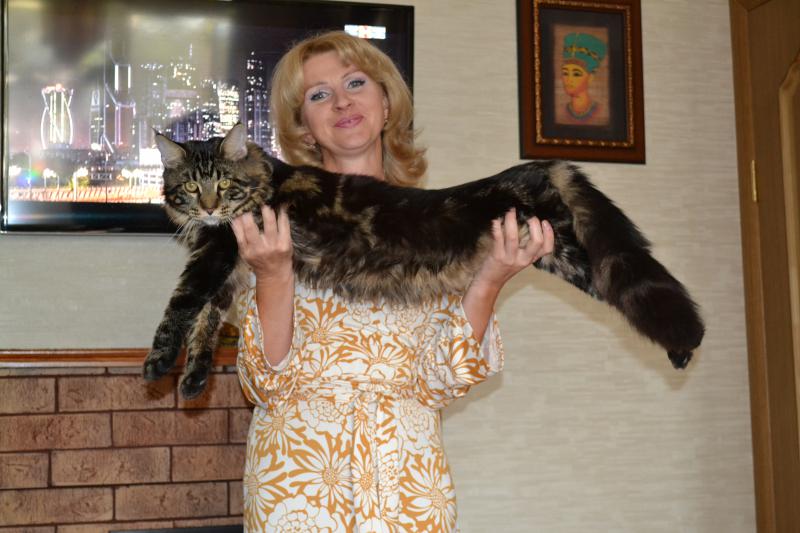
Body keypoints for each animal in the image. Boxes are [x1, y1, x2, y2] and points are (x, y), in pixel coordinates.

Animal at [144, 123, 704, 399]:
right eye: (190, 185)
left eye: (223, 184)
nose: (209, 207)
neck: (263, 181)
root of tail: (537, 167)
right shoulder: (230, 271)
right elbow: (206, 325)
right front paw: (192, 381)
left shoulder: (218, 255)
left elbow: (179, 309)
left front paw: (156, 365)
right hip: (560, 257)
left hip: (567, 248)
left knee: (626, 284)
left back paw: (685, 348)